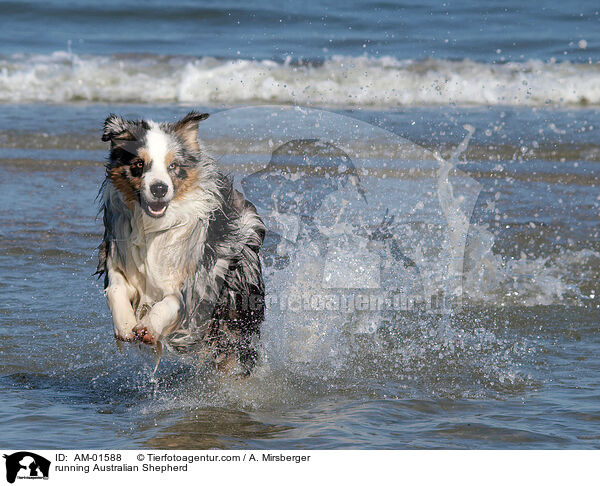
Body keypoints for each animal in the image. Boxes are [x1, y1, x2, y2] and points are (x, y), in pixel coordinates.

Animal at [96, 113, 264, 372]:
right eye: (139, 164)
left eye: (173, 166)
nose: (159, 188)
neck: (152, 227)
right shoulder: (117, 258)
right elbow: (116, 289)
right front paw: (124, 324)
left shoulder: (195, 279)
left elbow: (170, 302)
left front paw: (149, 327)